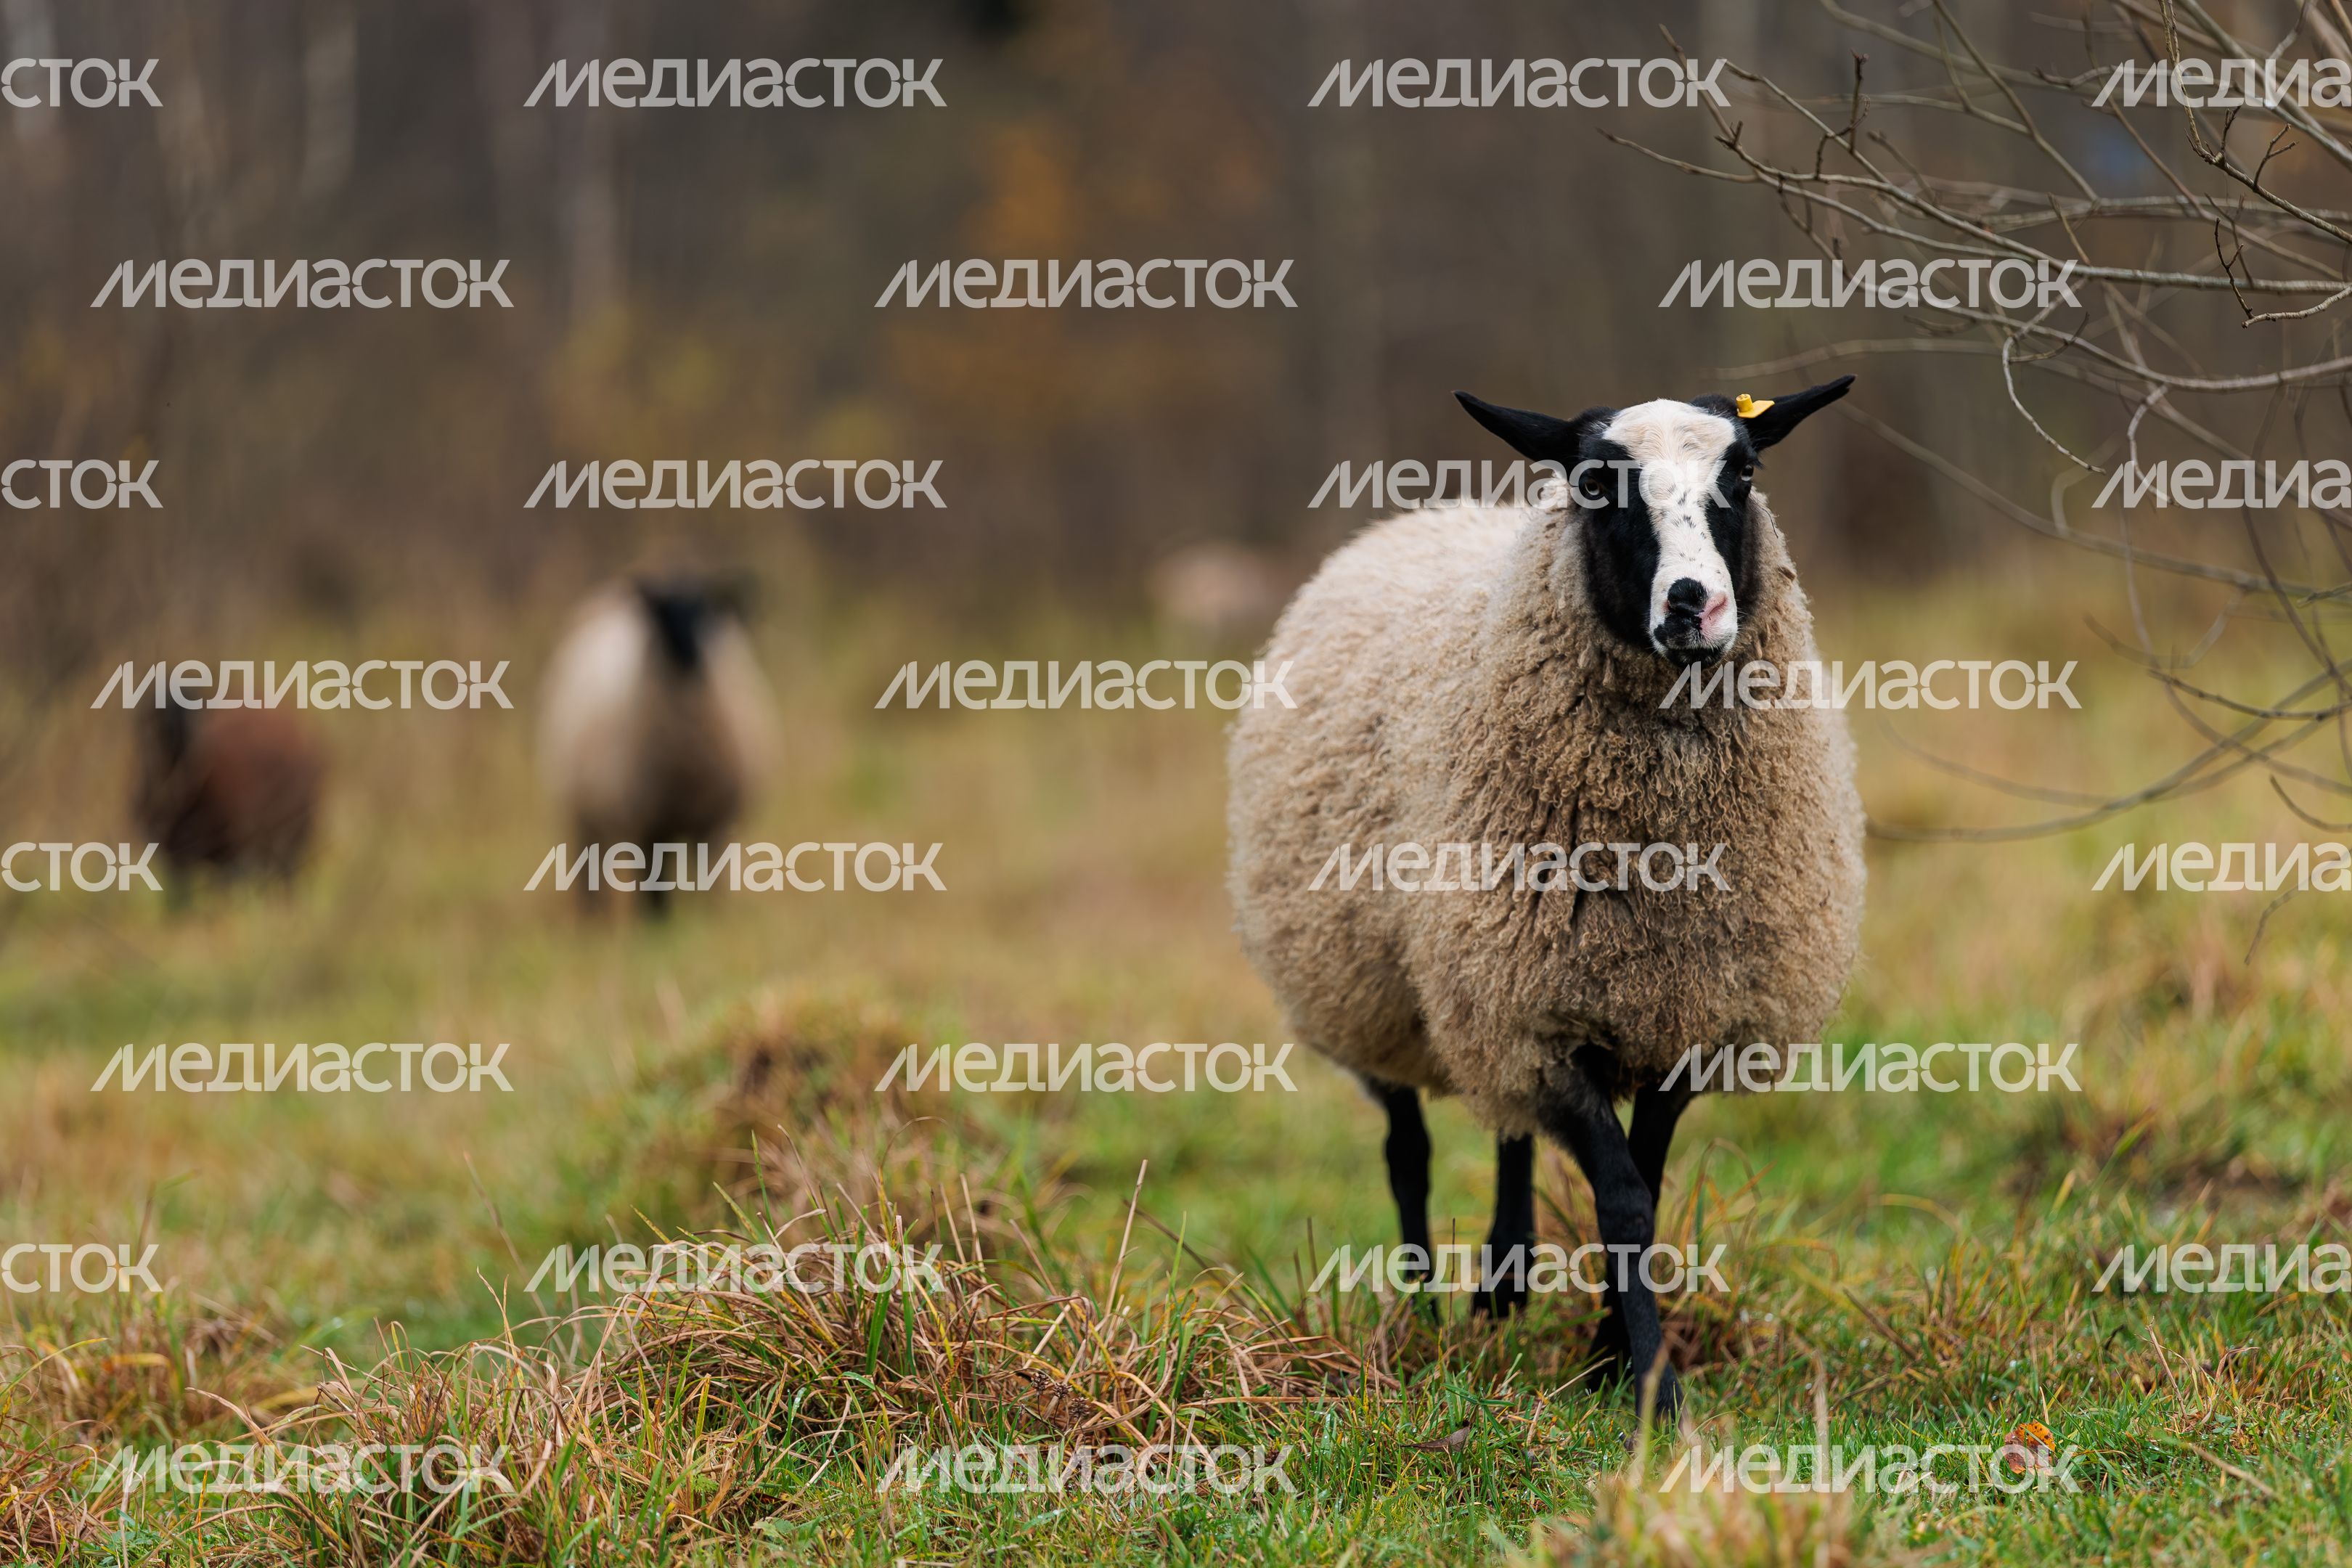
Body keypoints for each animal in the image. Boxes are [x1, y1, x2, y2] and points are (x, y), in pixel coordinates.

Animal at [537, 573, 776, 915]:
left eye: (705, 612)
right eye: (662, 614)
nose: (689, 654)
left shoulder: (713, 822)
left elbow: (710, 884)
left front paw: (709, 917)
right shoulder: (647, 824)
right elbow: (653, 886)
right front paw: (655, 922)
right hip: (582, 812)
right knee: (589, 872)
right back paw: (594, 918)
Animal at [1226, 378, 1865, 1419]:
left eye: (1742, 472)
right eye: (1596, 483)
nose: (1695, 604)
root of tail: (1423, 517)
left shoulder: (1681, 1019)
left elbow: (1646, 1178)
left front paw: (1611, 1352)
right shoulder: (1541, 1017)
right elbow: (1621, 1197)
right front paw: (1651, 1388)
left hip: (1481, 990)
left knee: (1507, 1128)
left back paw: (1504, 1283)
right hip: (1376, 983)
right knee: (1408, 1147)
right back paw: (1425, 1313)